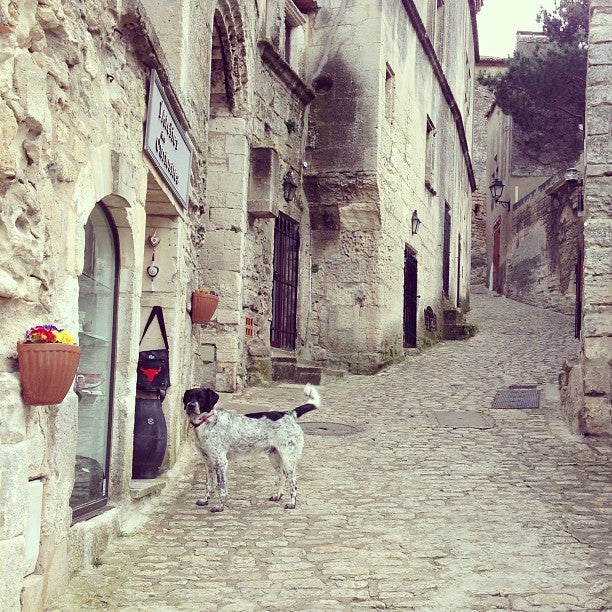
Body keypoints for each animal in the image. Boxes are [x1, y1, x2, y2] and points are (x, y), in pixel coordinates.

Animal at [183, 382, 320, 512]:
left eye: (201, 398)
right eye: (188, 397)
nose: (190, 405)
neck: (206, 422)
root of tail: (290, 414)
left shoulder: (220, 462)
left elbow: (221, 488)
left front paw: (220, 506)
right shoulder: (208, 462)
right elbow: (209, 485)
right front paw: (205, 500)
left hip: (288, 457)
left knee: (293, 481)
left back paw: (292, 503)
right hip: (275, 457)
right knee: (283, 475)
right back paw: (278, 496)